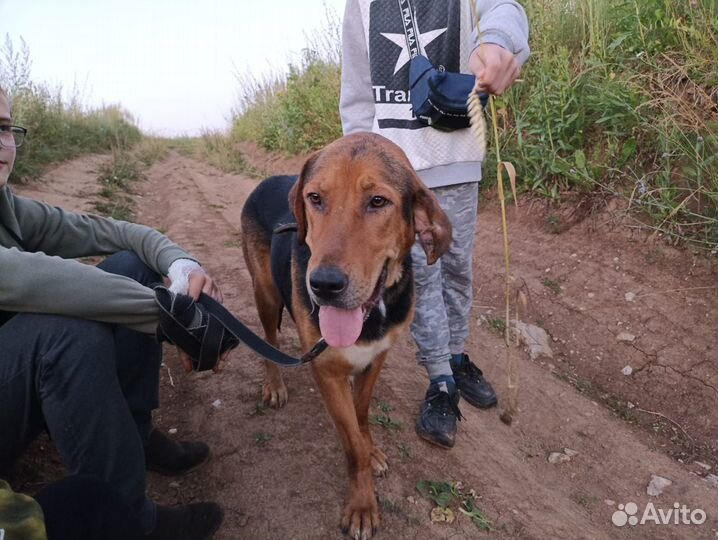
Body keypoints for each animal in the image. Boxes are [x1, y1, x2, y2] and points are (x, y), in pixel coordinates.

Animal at [242, 133, 450, 536]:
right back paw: (274, 385)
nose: (324, 285)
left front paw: (371, 449)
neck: (371, 316)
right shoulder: (326, 372)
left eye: (378, 202)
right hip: (266, 294)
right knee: (269, 342)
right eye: (315, 198)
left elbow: (362, 414)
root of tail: (267, 180)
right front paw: (362, 505)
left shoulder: (376, 358)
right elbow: (351, 444)